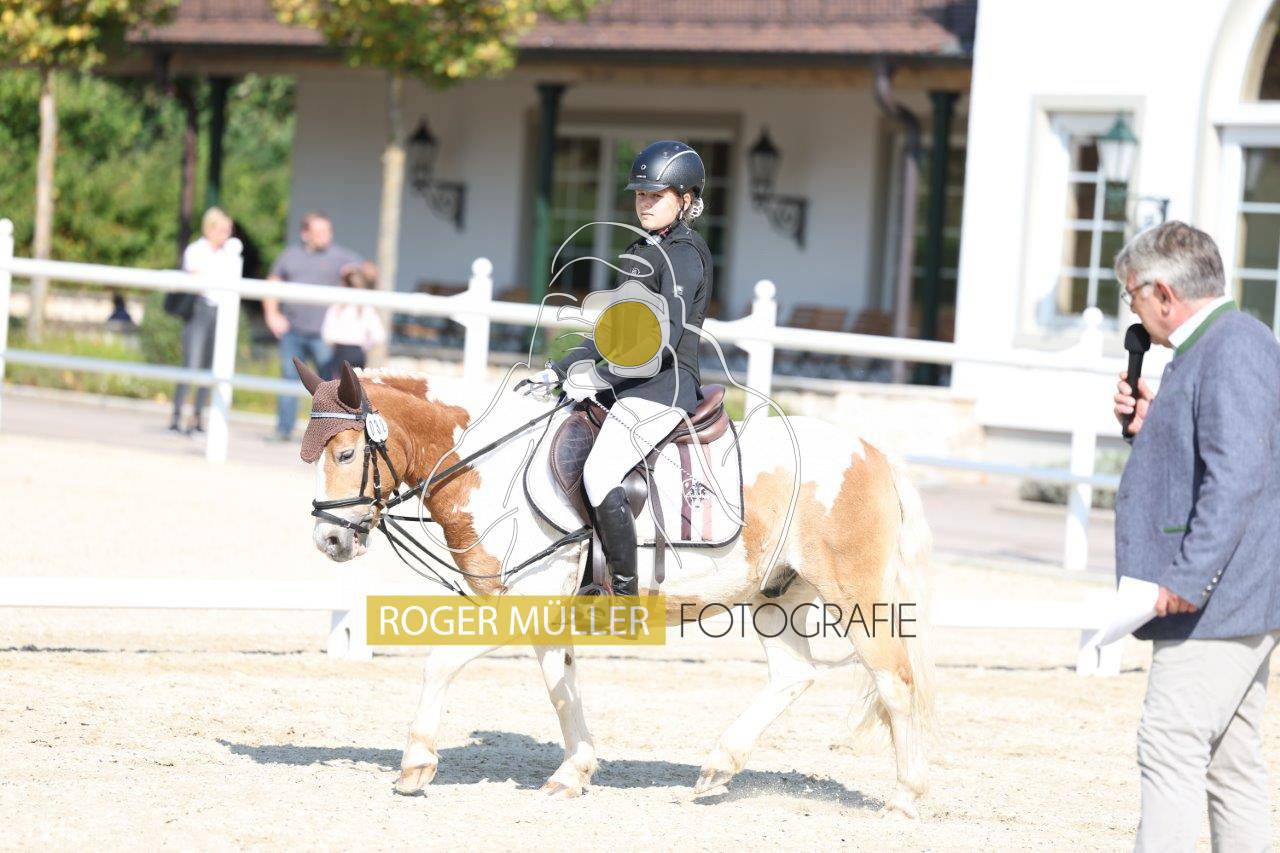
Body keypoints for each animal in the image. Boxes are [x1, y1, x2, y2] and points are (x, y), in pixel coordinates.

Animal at [296, 360, 934, 817]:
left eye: (346, 453)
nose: (329, 539)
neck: (491, 468)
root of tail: (872, 453)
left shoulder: (517, 605)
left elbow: (441, 663)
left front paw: (415, 765)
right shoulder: (545, 615)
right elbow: (562, 690)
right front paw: (572, 774)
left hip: (854, 595)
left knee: (895, 682)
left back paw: (904, 798)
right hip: (775, 595)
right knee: (793, 675)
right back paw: (715, 770)